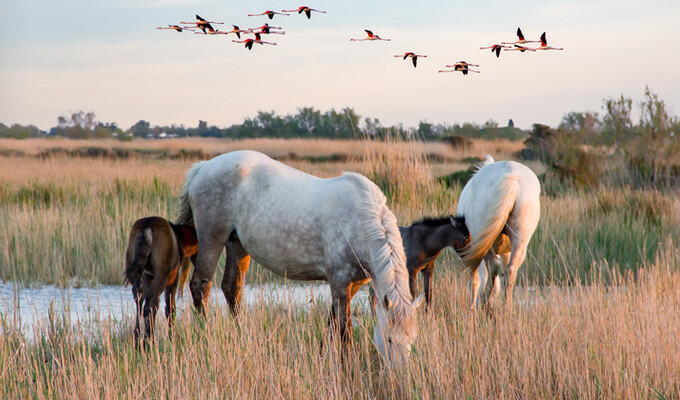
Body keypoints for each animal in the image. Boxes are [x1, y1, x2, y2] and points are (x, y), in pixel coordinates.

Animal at [175, 150, 422, 366]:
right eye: (390, 339)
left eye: (412, 341)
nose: (399, 378)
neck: (359, 220)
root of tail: (203, 167)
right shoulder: (340, 284)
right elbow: (344, 330)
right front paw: (346, 366)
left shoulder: (350, 286)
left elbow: (332, 322)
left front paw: (322, 356)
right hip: (212, 239)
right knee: (200, 287)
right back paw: (206, 336)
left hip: (236, 244)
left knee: (231, 288)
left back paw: (240, 335)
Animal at [456, 156, 540, 310]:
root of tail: (512, 178)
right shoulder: (506, 251)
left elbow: (475, 280)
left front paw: (472, 307)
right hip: (520, 240)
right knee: (510, 270)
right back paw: (507, 307)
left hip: (483, 240)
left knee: (494, 266)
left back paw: (487, 303)